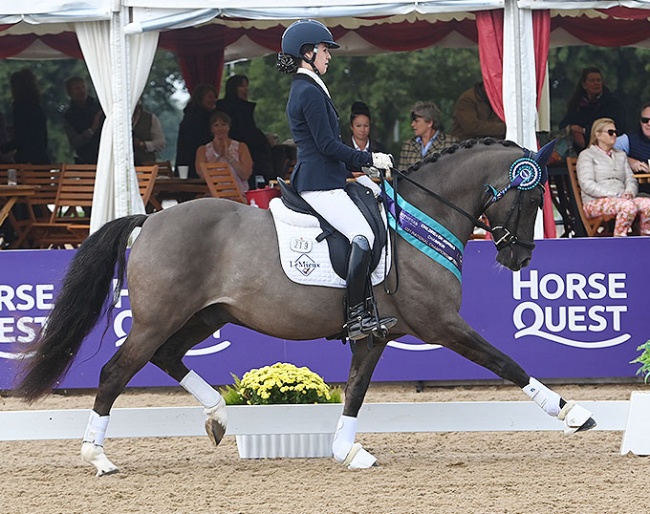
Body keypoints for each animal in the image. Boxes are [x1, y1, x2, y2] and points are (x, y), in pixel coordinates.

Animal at [15, 136, 596, 472]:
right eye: (531, 194)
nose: (520, 257)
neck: (420, 218)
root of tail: (151, 219)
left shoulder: (376, 334)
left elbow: (356, 390)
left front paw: (348, 450)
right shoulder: (441, 323)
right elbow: (505, 361)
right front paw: (572, 412)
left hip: (207, 314)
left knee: (167, 357)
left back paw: (218, 417)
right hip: (158, 319)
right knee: (116, 372)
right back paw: (98, 456)